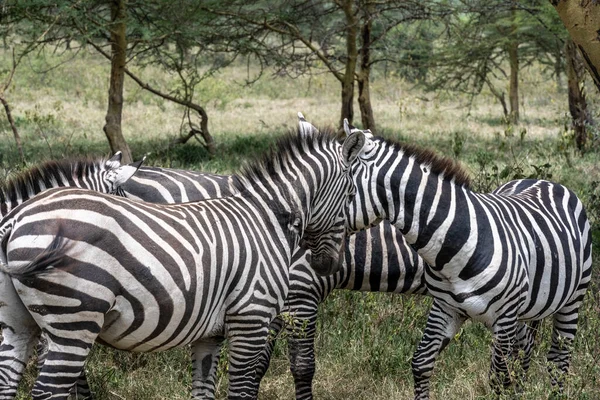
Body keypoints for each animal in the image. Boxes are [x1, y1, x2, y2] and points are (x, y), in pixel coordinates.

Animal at [340, 122, 592, 400]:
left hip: (572, 299)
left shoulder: (505, 317)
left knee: (558, 361)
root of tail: (544, 180)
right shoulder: (445, 307)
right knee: (525, 350)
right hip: (525, 309)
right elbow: (421, 362)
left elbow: (498, 378)